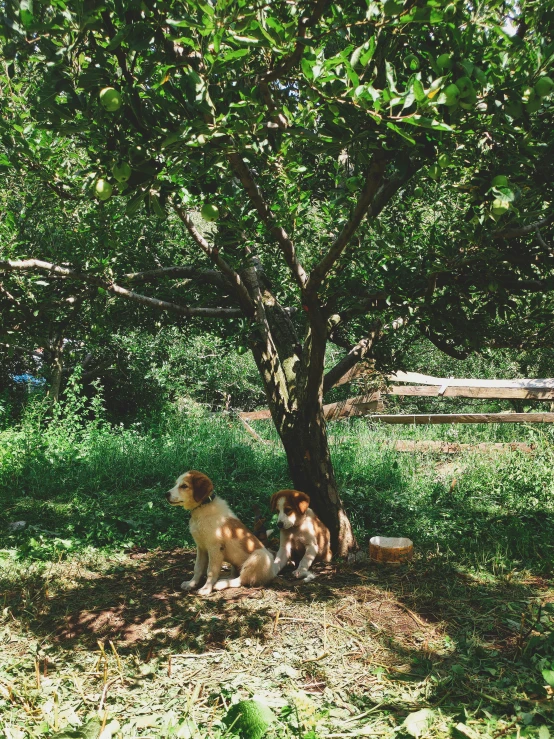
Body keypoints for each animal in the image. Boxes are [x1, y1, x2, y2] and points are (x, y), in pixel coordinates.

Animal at [165, 472, 274, 600]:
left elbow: (211, 571)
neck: (202, 508)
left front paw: (206, 589)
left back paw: (220, 584)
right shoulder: (201, 547)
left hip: (259, 556)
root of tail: (274, 571)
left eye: (184, 486)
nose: (166, 494)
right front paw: (191, 584)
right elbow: (198, 567)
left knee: (241, 580)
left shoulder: (215, 548)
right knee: (234, 575)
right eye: (176, 484)